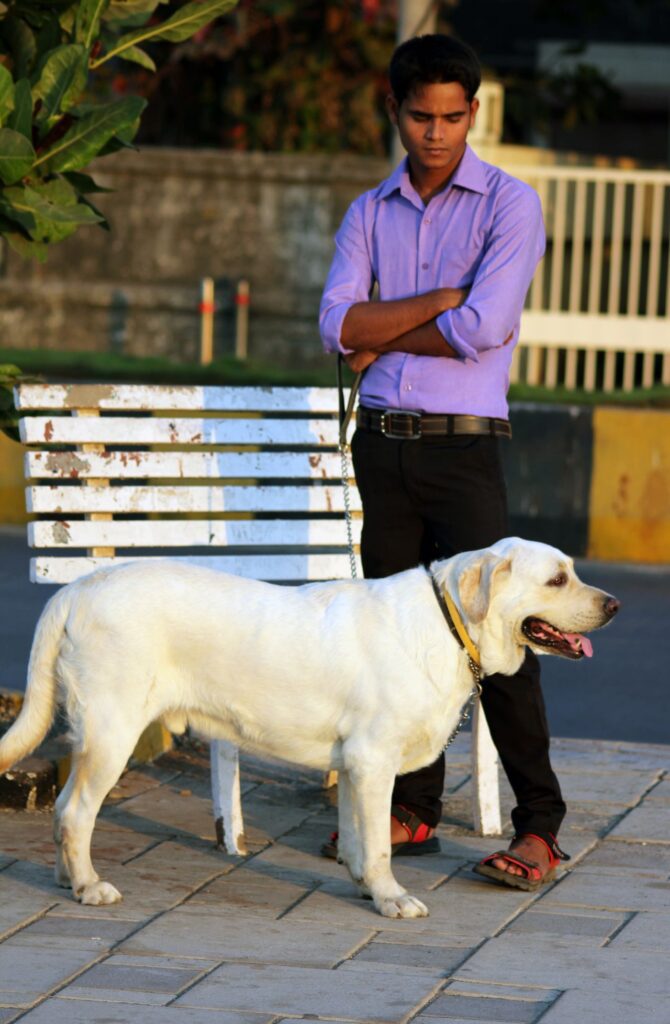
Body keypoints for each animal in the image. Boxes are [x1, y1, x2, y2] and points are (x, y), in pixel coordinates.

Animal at [0, 540, 618, 917]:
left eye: (573, 572)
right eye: (557, 580)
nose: (613, 605)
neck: (452, 624)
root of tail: (76, 589)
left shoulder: (353, 766)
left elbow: (359, 840)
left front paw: (366, 888)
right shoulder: (373, 760)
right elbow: (380, 847)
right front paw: (392, 899)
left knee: (64, 812)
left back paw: (65, 878)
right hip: (113, 729)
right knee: (75, 811)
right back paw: (88, 885)